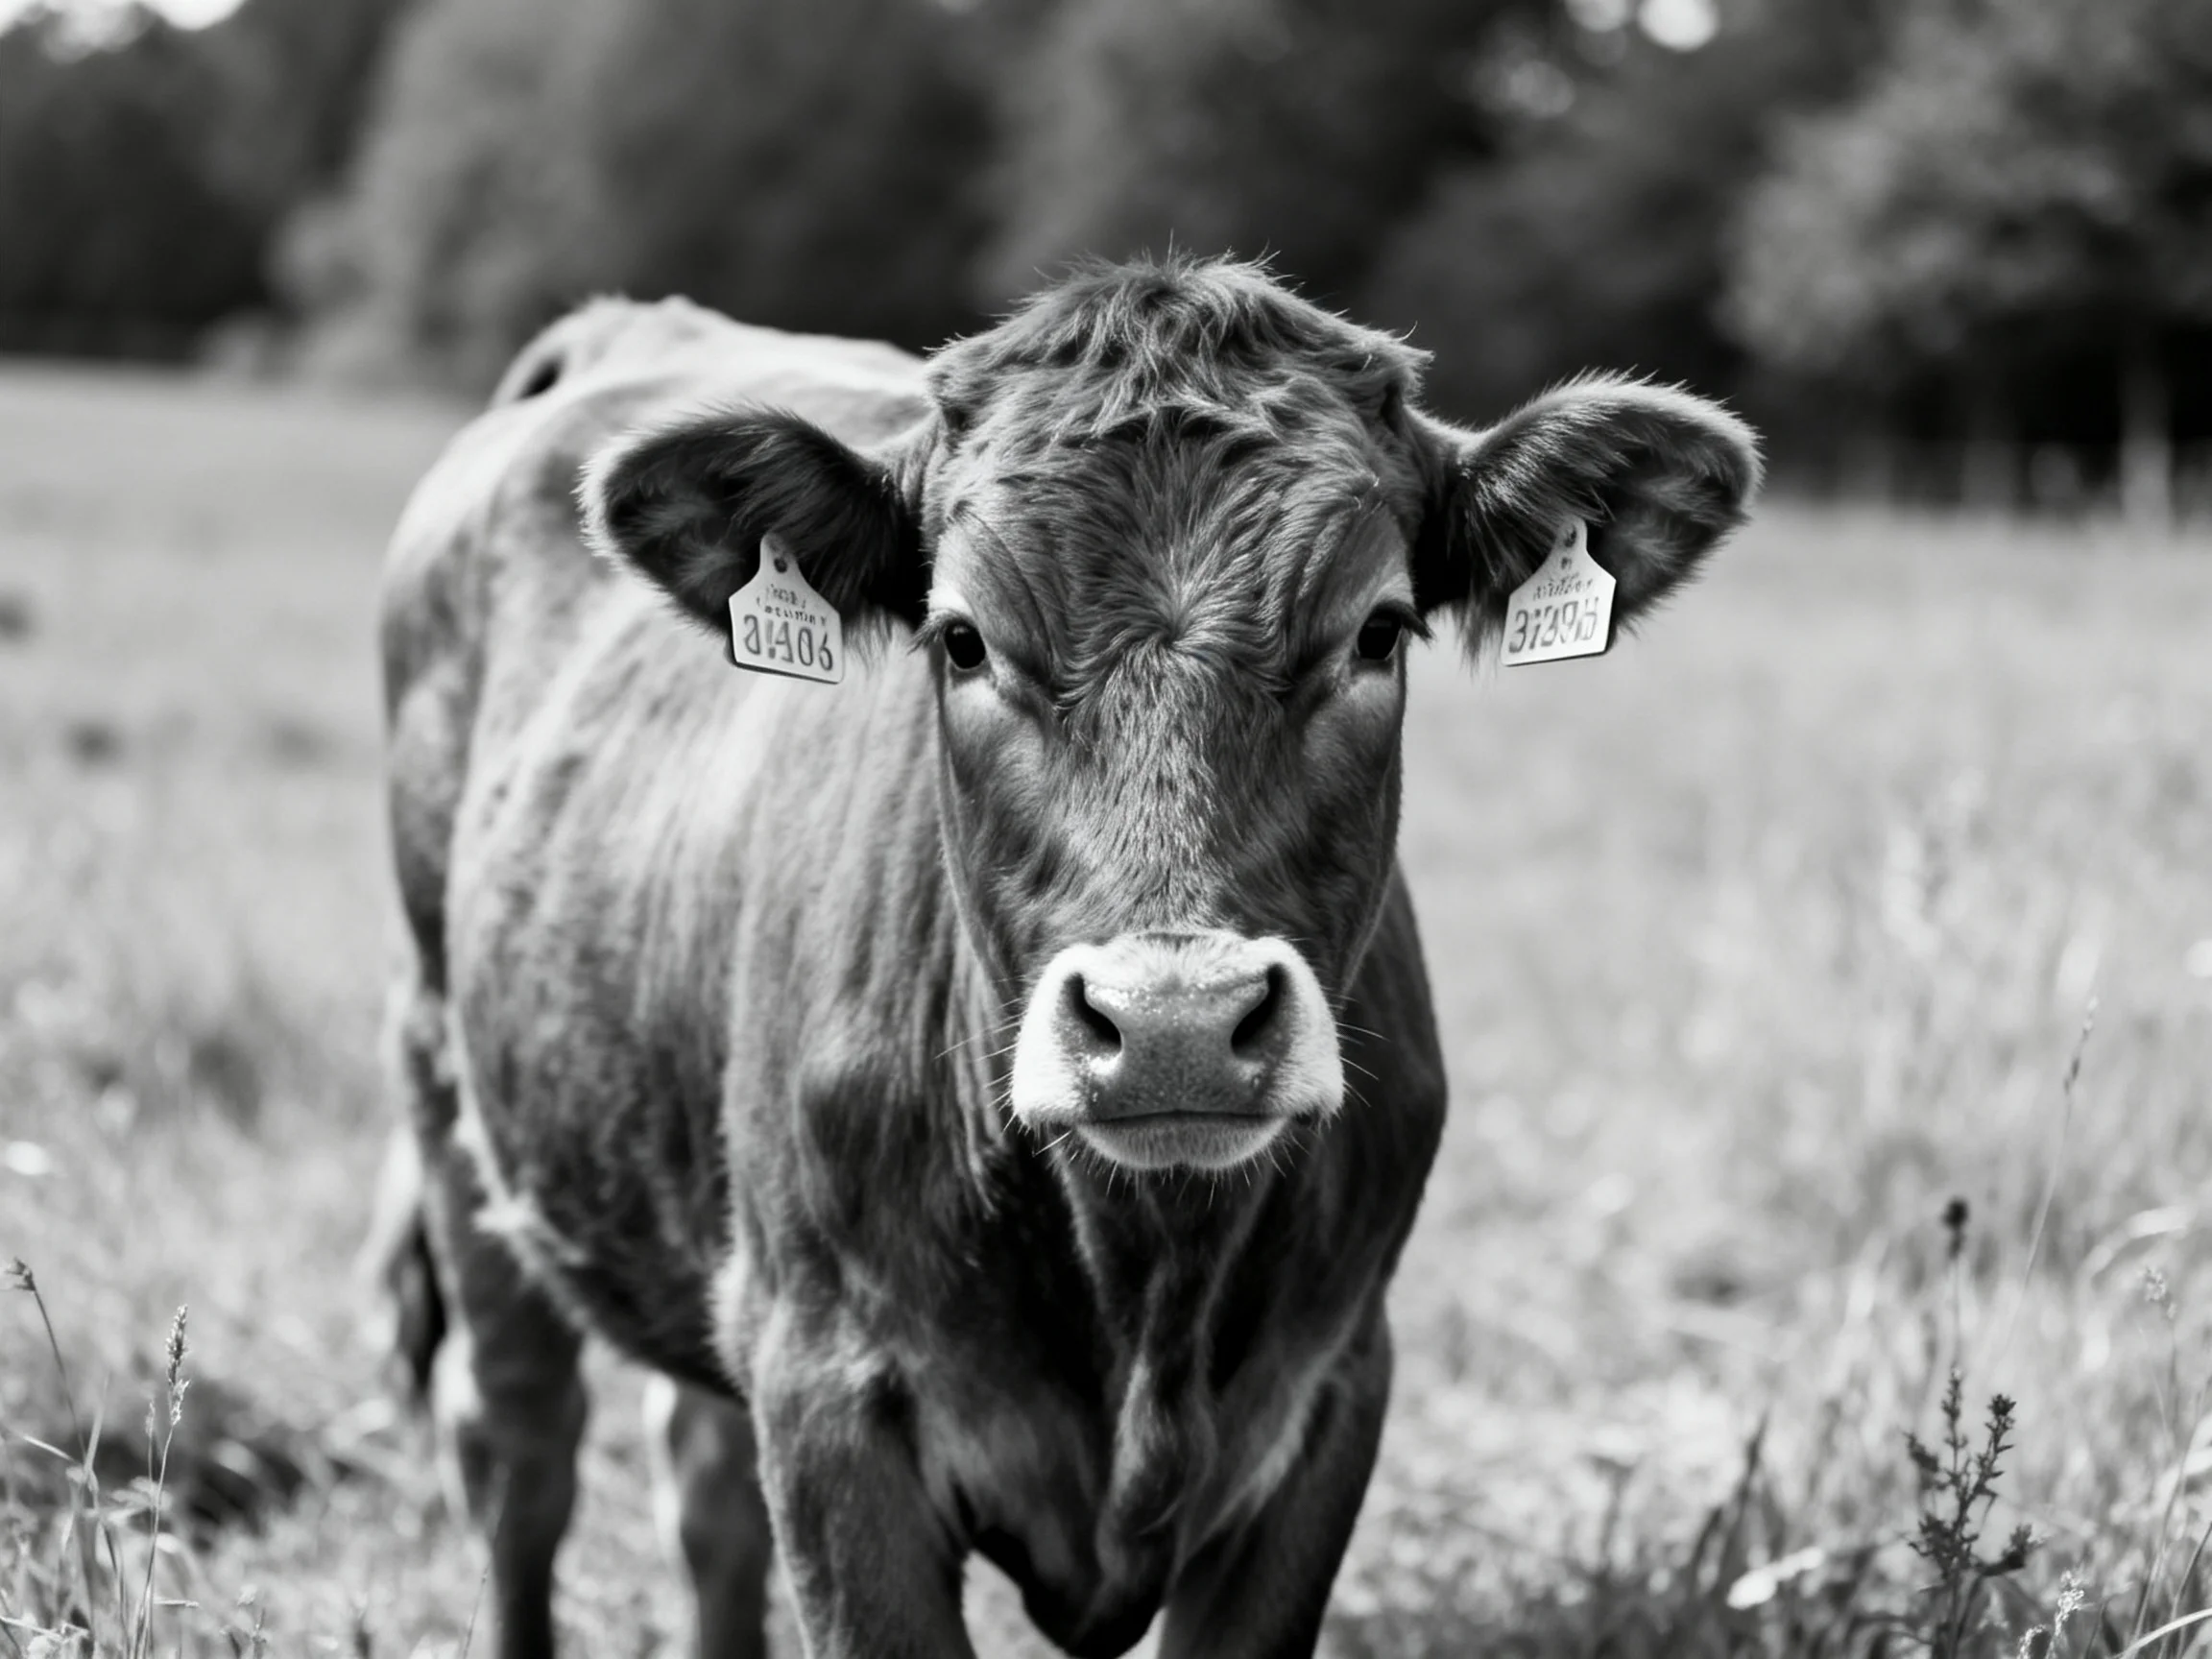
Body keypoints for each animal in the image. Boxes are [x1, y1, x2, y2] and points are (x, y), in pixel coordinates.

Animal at [374, 257, 1758, 1659]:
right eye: (961, 639)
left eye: (1378, 633)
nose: (1175, 1024)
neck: (1142, 1282)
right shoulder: (831, 1400)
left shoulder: (1328, 1399)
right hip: (450, 1091)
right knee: (518, 1452)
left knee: (701, 1486)